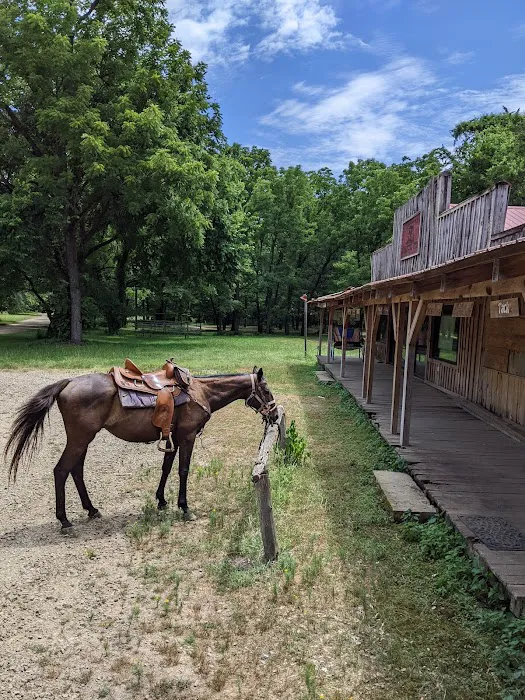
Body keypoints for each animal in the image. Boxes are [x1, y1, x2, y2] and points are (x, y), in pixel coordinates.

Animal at [4, 366, 278, 531]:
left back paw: (92, 509)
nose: (275, 415)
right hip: (79, 438)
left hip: (82, 439)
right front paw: (184, 507)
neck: (202, 392)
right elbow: (183, 471)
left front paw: (161, 501)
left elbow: (166, 469)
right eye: (266, 390)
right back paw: (64, 521)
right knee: (61, 470)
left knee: (76, 470)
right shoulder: (187, 437)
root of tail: (69, 382)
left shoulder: (173, 437)